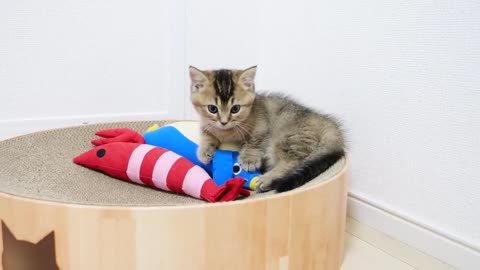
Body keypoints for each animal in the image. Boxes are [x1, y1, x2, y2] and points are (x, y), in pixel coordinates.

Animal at [188, 65, 344, 192]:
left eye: (235, 109)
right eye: (212, 109)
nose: (224, 122)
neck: (226, 132)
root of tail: (327, 122)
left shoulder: (262, 126)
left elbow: (254, 141)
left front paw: (249, 159)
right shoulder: (207, 125)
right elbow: (207, 134)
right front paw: (204, 151)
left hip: (288, 139)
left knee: (293, 162)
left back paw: (267, 179)